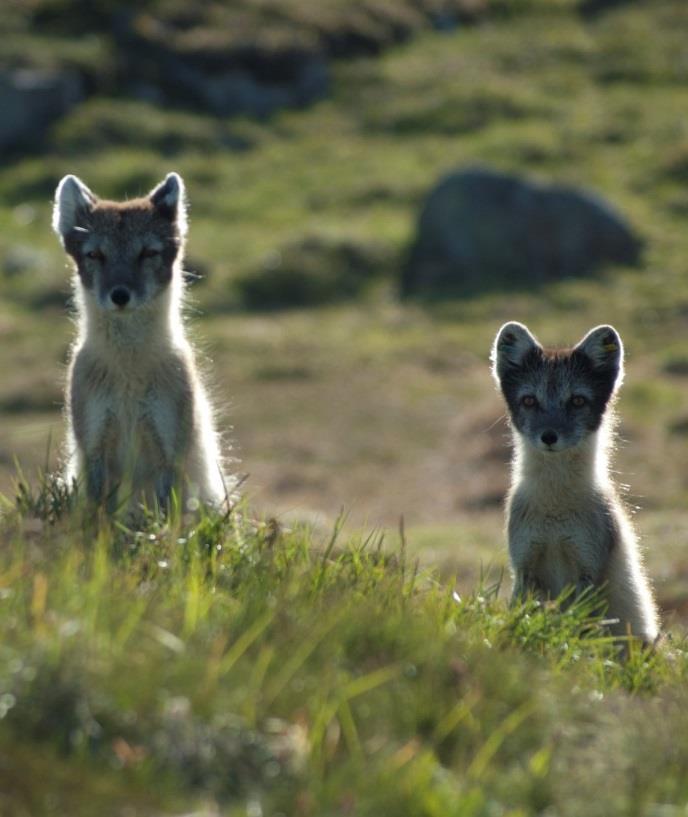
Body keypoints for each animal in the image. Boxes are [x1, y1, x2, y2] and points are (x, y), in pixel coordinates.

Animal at [53, 174, 230, 510]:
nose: (120, 295)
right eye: (95, 255)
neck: (128, 374)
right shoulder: (94, 447)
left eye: (147, 253)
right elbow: (98, 515)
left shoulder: (168, 451)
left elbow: (166, 518)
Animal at [492, 322, 660, 640]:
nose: (549, 436)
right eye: (529, 400)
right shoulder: (524, 565)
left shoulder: (588, 568)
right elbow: (522, 614)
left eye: (578, 400)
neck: (555, 514)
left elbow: (580, 627)